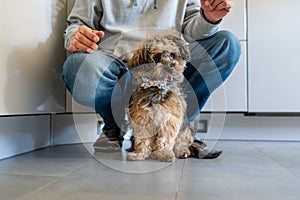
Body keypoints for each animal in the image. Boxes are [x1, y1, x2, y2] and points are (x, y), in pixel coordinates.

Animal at [125, 34, 196, 162]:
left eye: (172, 55)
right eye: (157, 58)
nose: (171, 67)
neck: (158, 87)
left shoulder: (170, 119)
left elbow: (165, 138)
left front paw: (164, 152)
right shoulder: (142, 118)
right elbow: (142, 138)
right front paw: (140, 154)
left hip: (185, 130)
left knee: (182, 141)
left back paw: (182, 151)